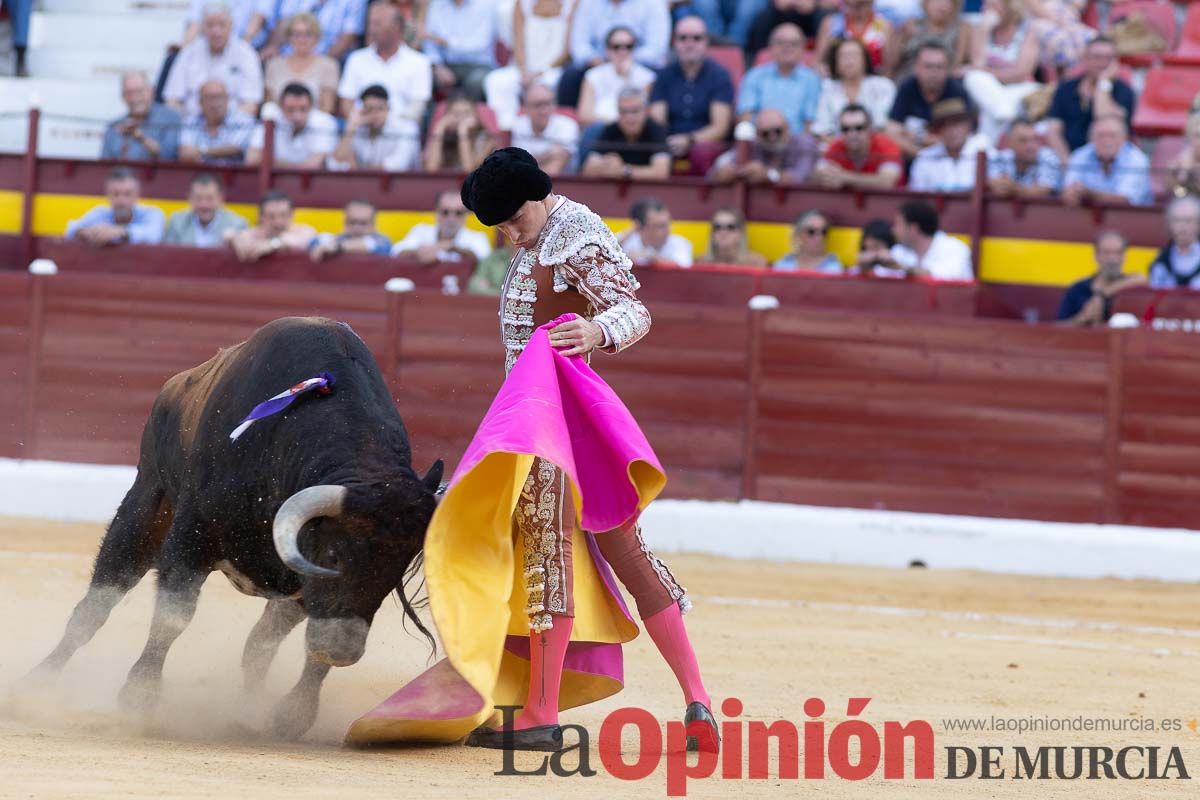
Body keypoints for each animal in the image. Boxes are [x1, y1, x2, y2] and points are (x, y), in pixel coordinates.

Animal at [31, 316, 446, 738]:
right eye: (332, 555)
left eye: (394, 573)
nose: (342, 651)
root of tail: (173, 386)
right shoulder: (190, 540)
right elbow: (173, 616)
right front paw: (139, 697)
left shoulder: (306, 589)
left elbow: (291, 648)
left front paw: (292, 716)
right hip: (144, 508)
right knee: (94, 607)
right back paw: (38, 683)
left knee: (259, 644)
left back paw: (249, 709)